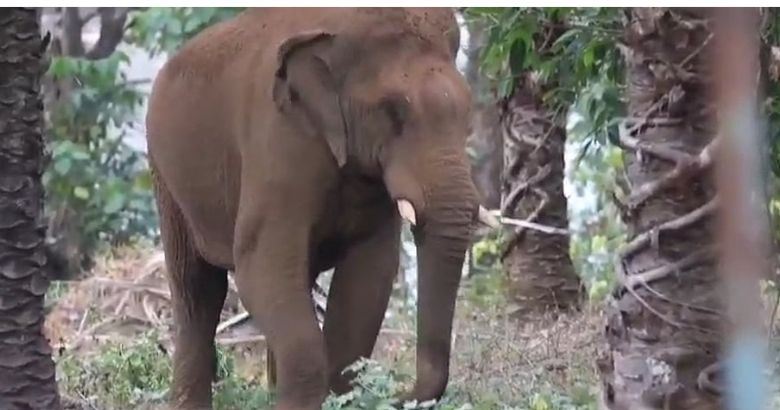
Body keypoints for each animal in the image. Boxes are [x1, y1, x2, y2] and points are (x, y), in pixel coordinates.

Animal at [145, 7, 498, 410]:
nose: (400, 393)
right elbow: (259, 266)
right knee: (198, 289)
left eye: (467, 111)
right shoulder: (278, 139)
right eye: (393, 112)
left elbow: (370, 274)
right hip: (165, 177)